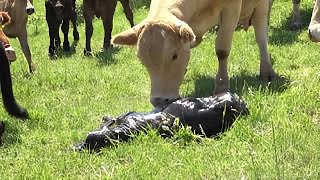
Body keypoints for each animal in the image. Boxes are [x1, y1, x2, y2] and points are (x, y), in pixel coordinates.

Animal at [111, 0, 276, 107]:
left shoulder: (231, 10)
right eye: (142, 60)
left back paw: (266, 70)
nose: (159, 100)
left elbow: (222, 50)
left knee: (261, 36)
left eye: (174, 55)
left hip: (260, 7)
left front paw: (222, 87)